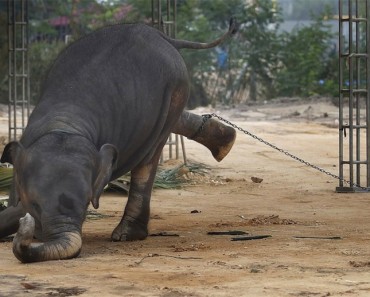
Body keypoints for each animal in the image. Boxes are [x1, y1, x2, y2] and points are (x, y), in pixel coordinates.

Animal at [0, 19, 237, 262]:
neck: (65, 124)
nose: (27, 225)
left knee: (148, 160)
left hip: (175, 94)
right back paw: (226, 142)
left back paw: (126, 235)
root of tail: (163, 36)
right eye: (34, 204)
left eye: (87, 204)